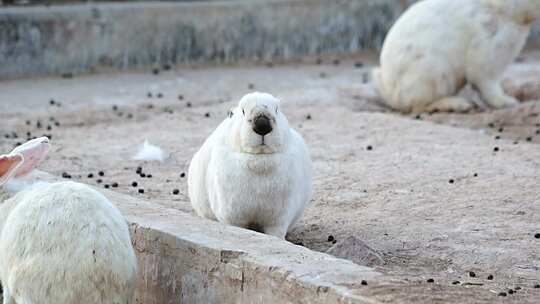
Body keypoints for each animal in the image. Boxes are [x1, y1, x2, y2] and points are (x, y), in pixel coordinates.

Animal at [188, 91, 312, 239]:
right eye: (243, 111)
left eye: (277, 109)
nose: (262, 125)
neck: (259, 158)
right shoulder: (233, 215)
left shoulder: (279, 219)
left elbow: (276, 233)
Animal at [374, 0, 540, 113]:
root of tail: (390, 94)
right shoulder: (487, 50)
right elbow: (487, 83)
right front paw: (507, 102)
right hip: (435, 72)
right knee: (419, 105)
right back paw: (458, 104)